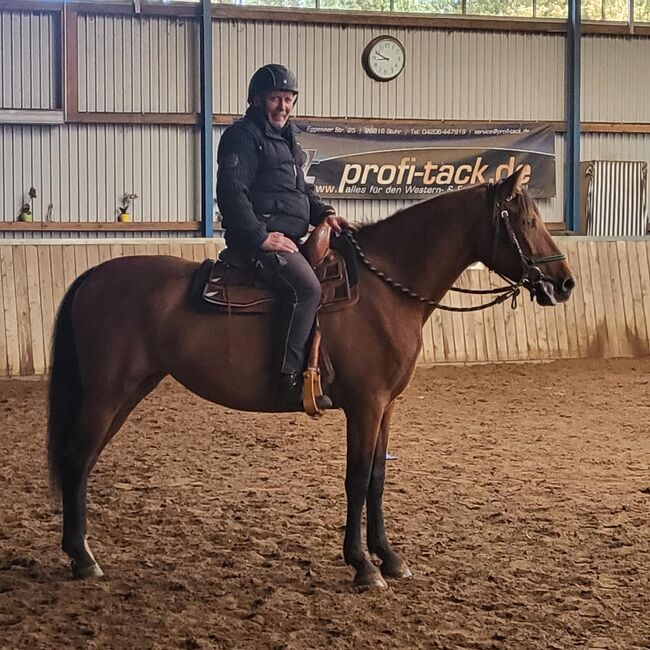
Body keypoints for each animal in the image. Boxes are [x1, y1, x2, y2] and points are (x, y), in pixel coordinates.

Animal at [45, 168, 572, 588]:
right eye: (526, 221)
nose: (564, 283)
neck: (384, 289)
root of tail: (92, 276)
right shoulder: (365, 404)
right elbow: (356, 478)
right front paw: (363, 565)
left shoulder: (386, 407)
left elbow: (377, 478)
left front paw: (390, 557)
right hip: (108, 394)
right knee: (77, 455)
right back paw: (82, 558)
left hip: (129, 391)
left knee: (83, 460)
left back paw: (81, 551)